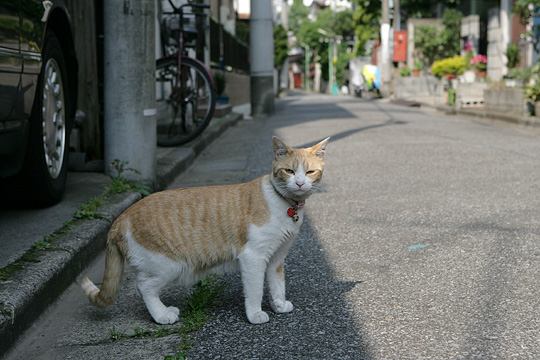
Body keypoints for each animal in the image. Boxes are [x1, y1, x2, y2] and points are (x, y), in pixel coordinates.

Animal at [81, 136, 330, 324]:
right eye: (289, 171)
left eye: (310, 173)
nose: (300, 183)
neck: (286, 204)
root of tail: (121, 217)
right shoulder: (253, 257)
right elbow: (255, 290)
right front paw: (255, 314)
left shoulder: (277, 258)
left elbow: (278, 284)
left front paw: (278, 305)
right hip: (170, 265)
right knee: (144, 286)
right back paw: (162, 315)